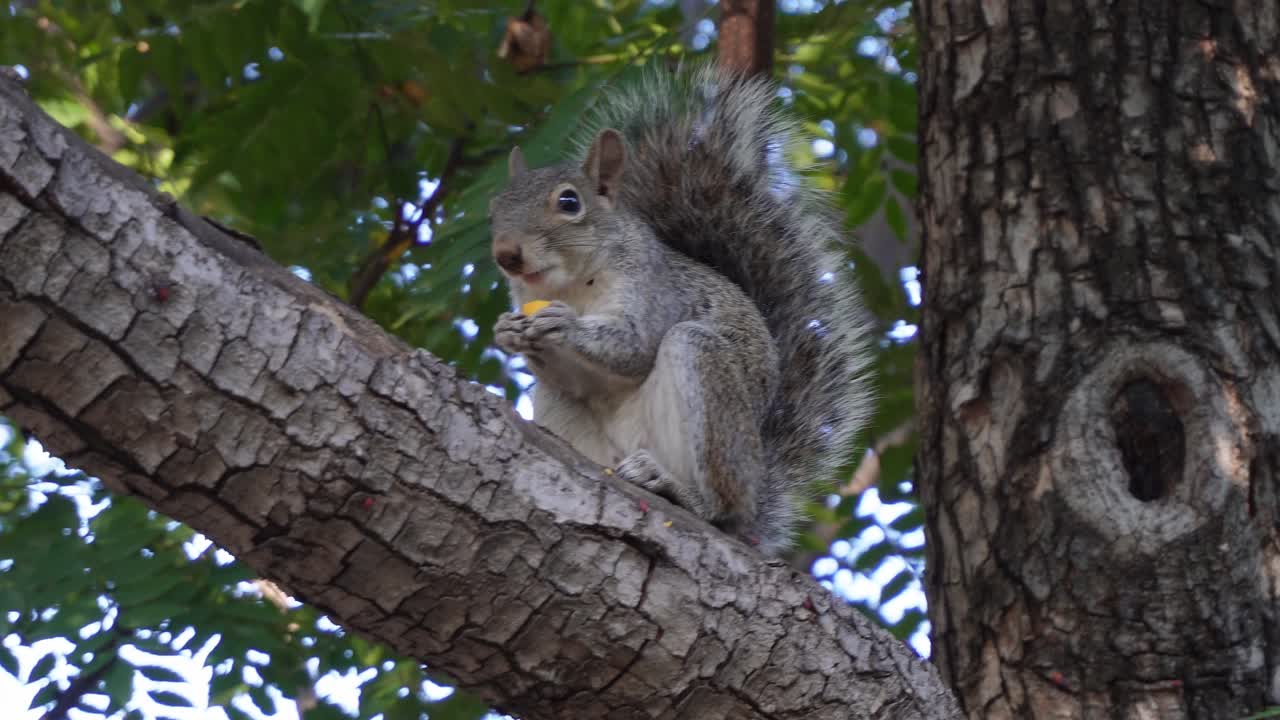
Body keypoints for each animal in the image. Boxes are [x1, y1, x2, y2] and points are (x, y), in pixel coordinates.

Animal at [488, 65, 873, 555]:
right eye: (494, 208)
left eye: (569, 202)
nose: (506, 254)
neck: (572, 284)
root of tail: (755, 498)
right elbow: (573, 374)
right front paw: (507, 332)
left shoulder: (655, 289)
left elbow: (635, 345)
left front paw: (564, 325)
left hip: (706, 376)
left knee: (721, 506)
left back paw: (679, 490)